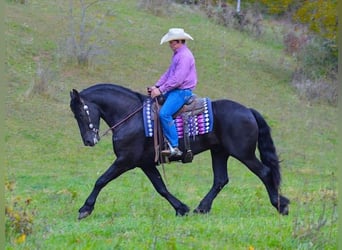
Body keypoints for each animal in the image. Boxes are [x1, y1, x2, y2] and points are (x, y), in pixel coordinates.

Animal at [69, 83, 288, 219]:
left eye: (80, 112)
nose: (89, 141)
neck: (131, 116)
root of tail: (248, 110)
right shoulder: (144, 163)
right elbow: (161, 187)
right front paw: (181, 208)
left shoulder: (125, 160)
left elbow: (101, 180)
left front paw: (85, 209)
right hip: (219, 152)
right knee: (220, 180)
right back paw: (202, 208)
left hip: (243, 154)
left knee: (265, 172)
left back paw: (281, 205)